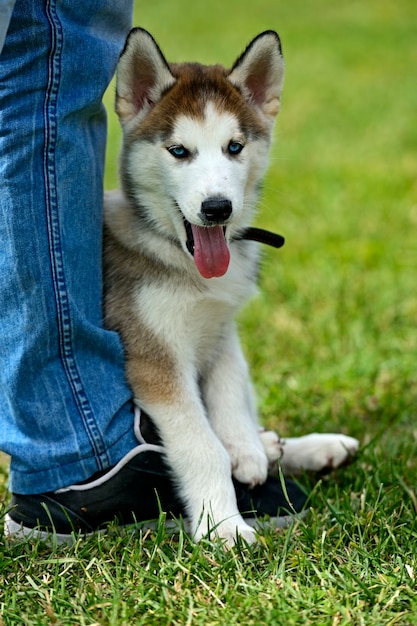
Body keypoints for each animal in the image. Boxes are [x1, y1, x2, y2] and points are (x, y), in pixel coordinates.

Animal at [104, 29, 358, 540]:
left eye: (234, 147)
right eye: (178, 151)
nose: (217, 208)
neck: (185, 265)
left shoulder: (220, 326)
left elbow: (230, 386)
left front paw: (247, 451)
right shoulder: (155, 358)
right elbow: (203, 447)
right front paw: (224, 527)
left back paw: (306, 447)